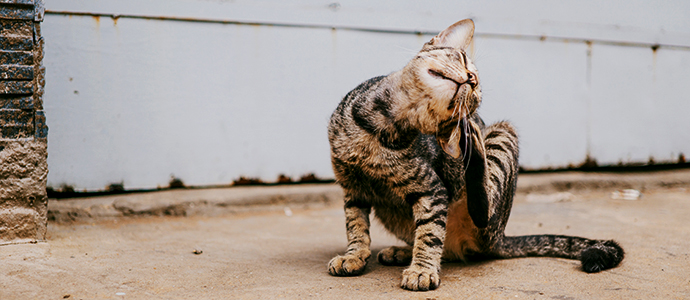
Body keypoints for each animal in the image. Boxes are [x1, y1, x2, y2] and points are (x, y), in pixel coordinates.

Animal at [326, 18, 620, 290]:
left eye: (476, 93)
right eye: (464, 59)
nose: (472, 79)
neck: (381, 128)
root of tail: (500, 237)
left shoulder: (432, 190)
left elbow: (430, 232)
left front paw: (422, 269)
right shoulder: (352, 188)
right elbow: (356, 226)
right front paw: (353, 256)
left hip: (502, 139)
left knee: (480, 208)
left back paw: (471, 141)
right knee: (440, 245)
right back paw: (403, 251)